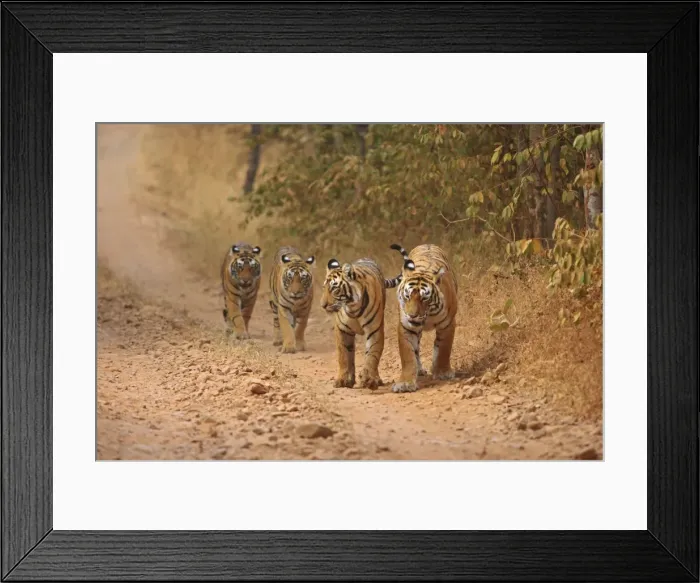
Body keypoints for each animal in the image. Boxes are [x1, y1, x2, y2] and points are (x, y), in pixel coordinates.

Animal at [320, 257, 402, 389]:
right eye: (324, 288)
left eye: (334, 289)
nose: (323, 305)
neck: (353, 308)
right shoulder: (342, 330)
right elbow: (343, 355)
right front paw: (343, 380)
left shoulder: (375, 330)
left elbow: (372, 355)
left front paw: (369, 379)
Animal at [389, 243, 459, 393]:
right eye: (407, 296)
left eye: (424, 298)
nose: (412, 315)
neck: (428, 316)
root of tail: (427, 244)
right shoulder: (406, 326)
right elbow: (407, 355)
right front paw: (405, 383)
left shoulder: (448, 324)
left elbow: (444, 348)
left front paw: (443, 372)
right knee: (416, 350)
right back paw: (419, 370)